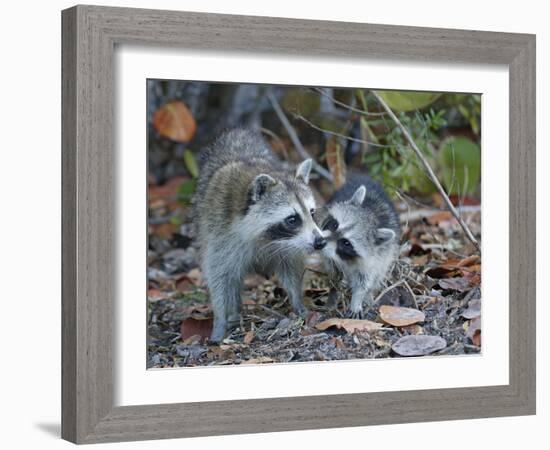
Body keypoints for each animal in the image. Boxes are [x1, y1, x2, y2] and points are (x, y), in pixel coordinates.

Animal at [195, 129, 328, 342]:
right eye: (292, 219)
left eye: (312, 212)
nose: (320, 242)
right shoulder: (219, 233)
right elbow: (219, 277)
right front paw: (220, 320)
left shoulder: (288, 245)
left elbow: (290, 268)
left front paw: (298, 302)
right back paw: (234, 313)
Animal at [320, 174, 402, 318]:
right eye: (335, 224)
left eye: (346, 243)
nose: (319, 242)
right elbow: (334, 272)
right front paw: (333, 293)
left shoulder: (376, 256)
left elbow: (364, 280)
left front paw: (358, 299)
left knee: (379, 274)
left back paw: (369, 296)